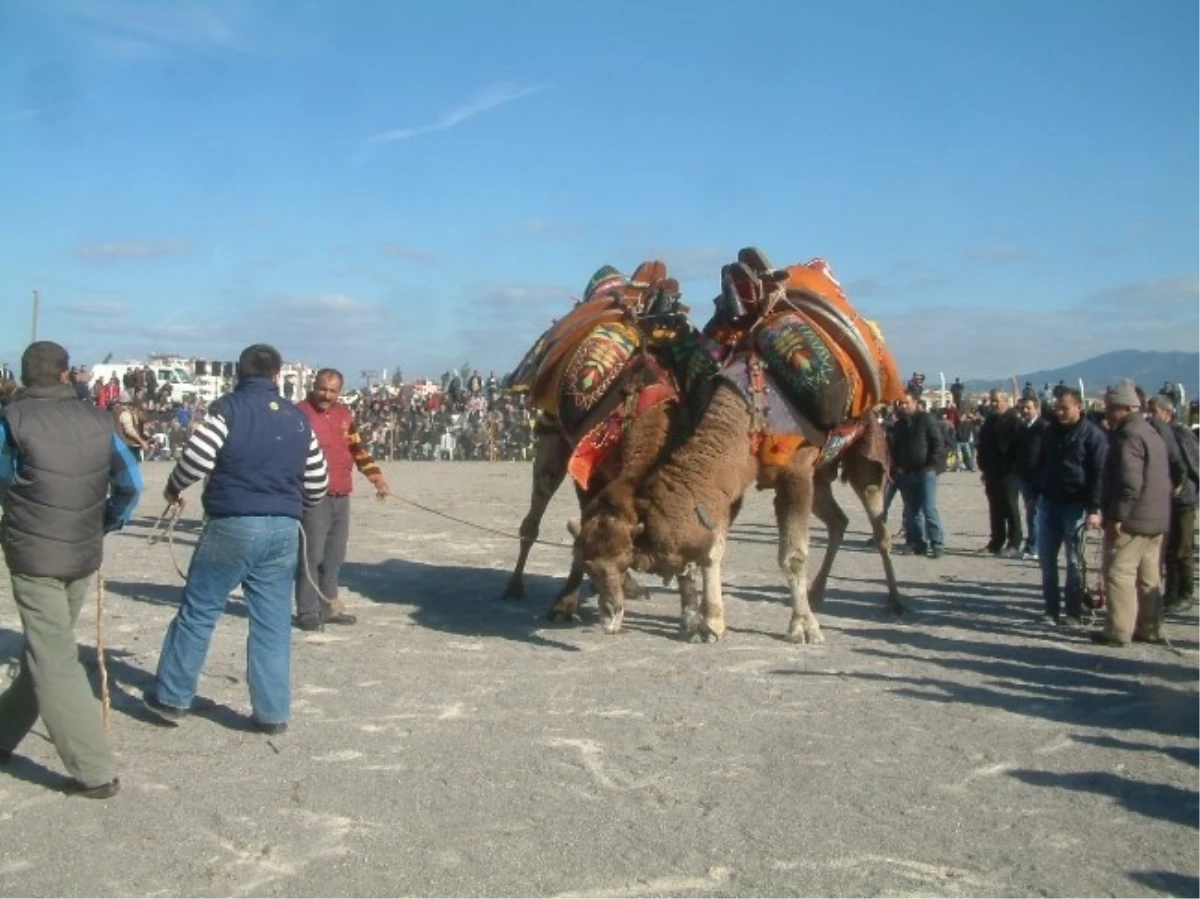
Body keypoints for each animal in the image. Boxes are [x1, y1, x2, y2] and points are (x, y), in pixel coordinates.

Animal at [568, 247, 902, 638]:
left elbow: (793, 555)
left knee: (878, 525)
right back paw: (818, 593)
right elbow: (716, 546)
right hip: (821, 474)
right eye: (587, 563)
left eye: (626, 561)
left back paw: (894, 601)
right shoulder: (738, 480)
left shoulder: (794, 471)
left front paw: (803, 627)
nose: (609, 616)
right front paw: (711, 621)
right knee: (837, 521)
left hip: (866, 448)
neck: (750, 406)